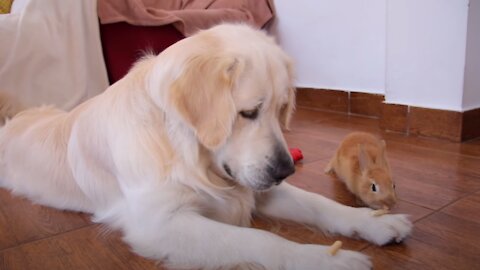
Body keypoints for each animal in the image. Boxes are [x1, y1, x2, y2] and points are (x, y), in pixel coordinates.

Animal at [0, 24, 412, 268]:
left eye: (281, 109)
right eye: (248, 112)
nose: (286, 171)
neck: (188, 154)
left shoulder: (255, 189)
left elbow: (320, 204)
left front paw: (376, 221)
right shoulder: (159, 223)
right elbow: (260, 240)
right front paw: (323, 260)